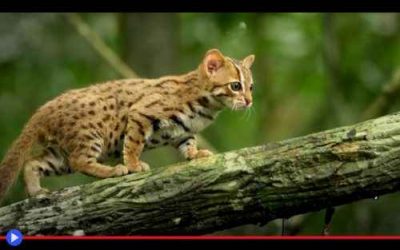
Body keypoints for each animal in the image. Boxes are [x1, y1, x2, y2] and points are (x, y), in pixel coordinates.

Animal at [0, 48, 255, 201]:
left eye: (250, 87)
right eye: (235, 86)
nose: (250, 101)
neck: (207, 105)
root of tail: (46, 107)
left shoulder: (182, 132)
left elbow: (188, 143)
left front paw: (195, 153)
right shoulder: (140, 114)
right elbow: (133, 143)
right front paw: (133, 165)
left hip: (60, 155)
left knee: (32, 163)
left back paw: (35, 190)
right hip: (90, 135)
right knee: (80, 160)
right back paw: (114, 170)